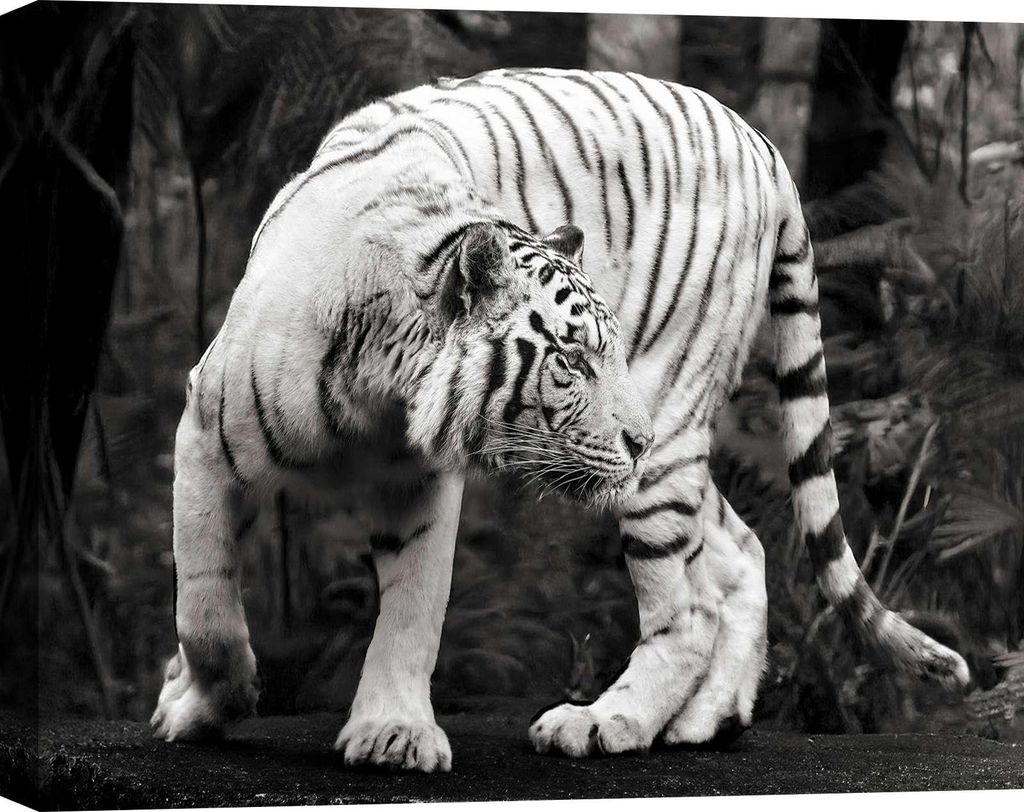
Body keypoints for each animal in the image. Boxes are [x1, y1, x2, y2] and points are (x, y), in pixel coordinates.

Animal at [151, 68, 970, 772]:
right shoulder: (206, 438)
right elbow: (205, 607)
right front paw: (200, 701)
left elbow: (412, 609)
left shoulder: (424, 485)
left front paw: (392, 733)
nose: (634, 436)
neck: (378, 390)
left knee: (689, 609)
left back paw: (611, 721)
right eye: (571, 361)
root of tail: (762, 143)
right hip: (675, 455)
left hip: (668, 429)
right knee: (742, 553)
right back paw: (709, 721)